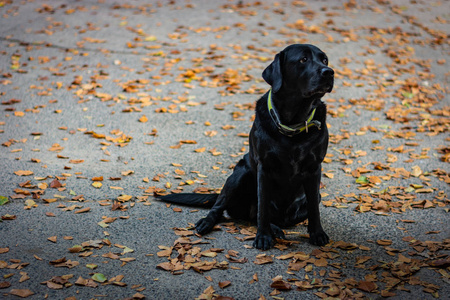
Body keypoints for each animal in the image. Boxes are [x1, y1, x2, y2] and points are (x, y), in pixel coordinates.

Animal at [161, 44, 334, 251]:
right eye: (303, 60)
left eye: (324, 60)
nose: (329, 72)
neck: (293, 123)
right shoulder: (264, 168)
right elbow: (262, 208)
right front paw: (263, 237)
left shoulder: (314, 168)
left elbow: (314, 209)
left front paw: (317, 234)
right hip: (240, 174)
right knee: (224, 207)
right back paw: (208, 222)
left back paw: (276, 229)